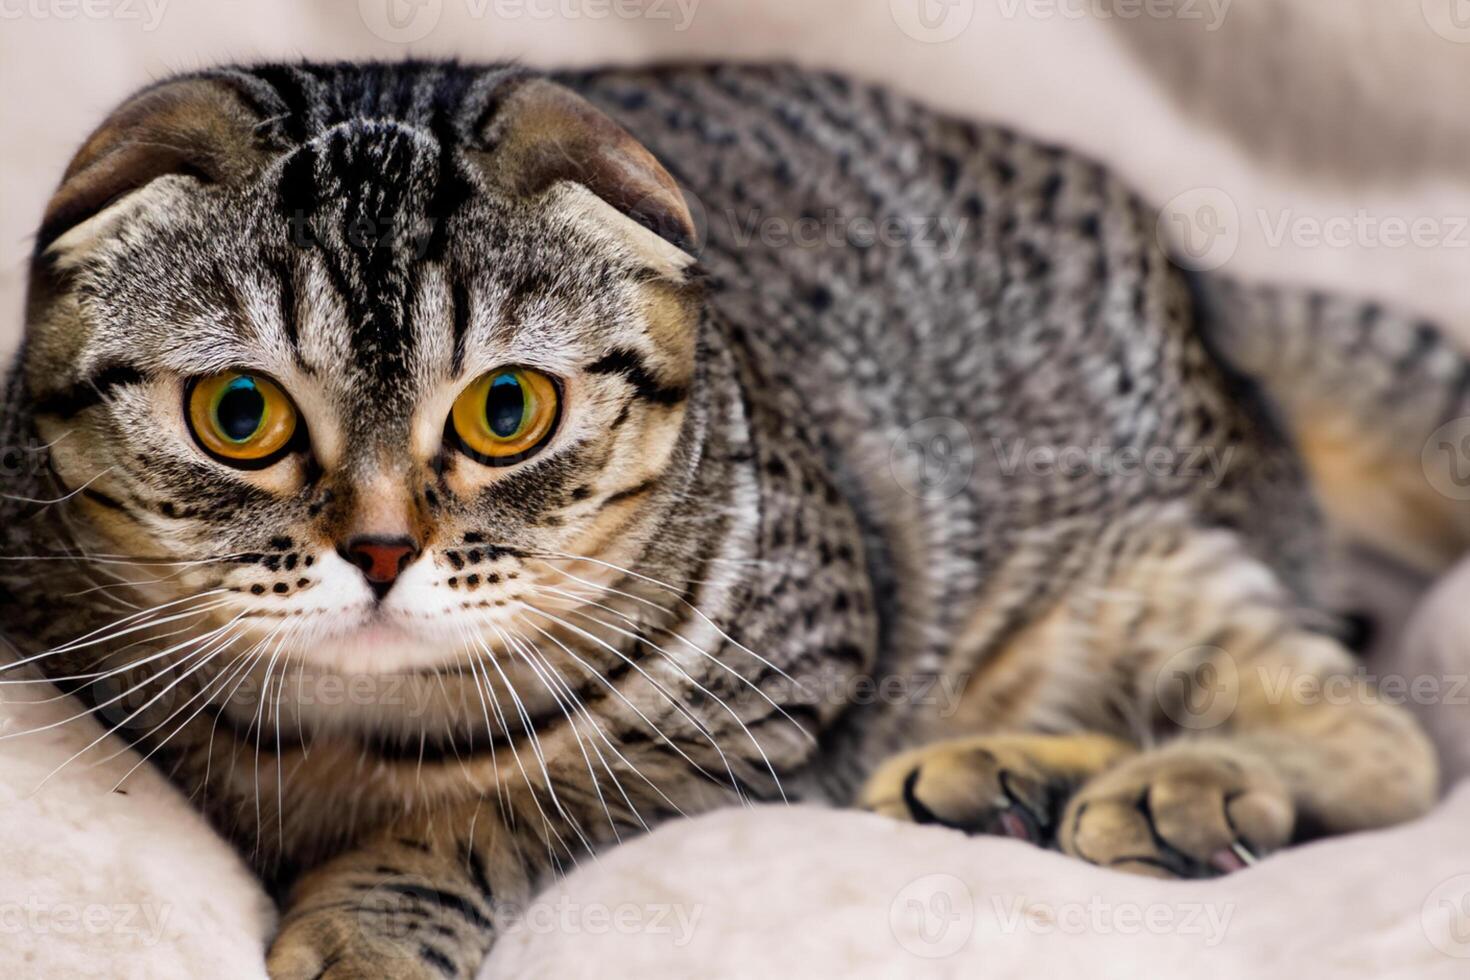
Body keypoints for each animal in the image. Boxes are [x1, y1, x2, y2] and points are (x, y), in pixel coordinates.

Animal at [0, 63, 1446, 980]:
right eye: (238, 412)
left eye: (505, 410)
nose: (380, 550)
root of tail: (1198, 279)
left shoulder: (771, 707)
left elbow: (498, 812)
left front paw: (372, 919)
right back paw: (1005, 777)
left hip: (1147, 567)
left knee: (1385, 738)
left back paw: (1166, 786)